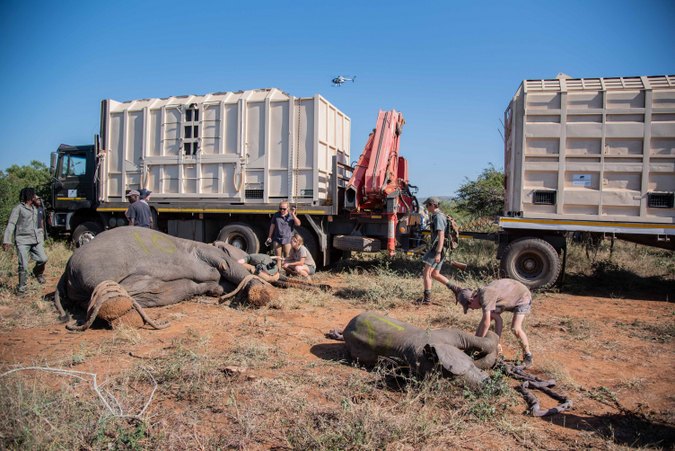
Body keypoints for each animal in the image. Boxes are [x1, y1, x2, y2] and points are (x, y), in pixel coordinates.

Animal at [55, 228, 276, 330]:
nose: (270, 265)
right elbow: (227, 265)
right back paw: (125, 312)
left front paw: (218, 290)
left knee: (161, 291)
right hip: (98, 266)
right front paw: (265, 294)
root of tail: (67, 270)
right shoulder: (208, 251)